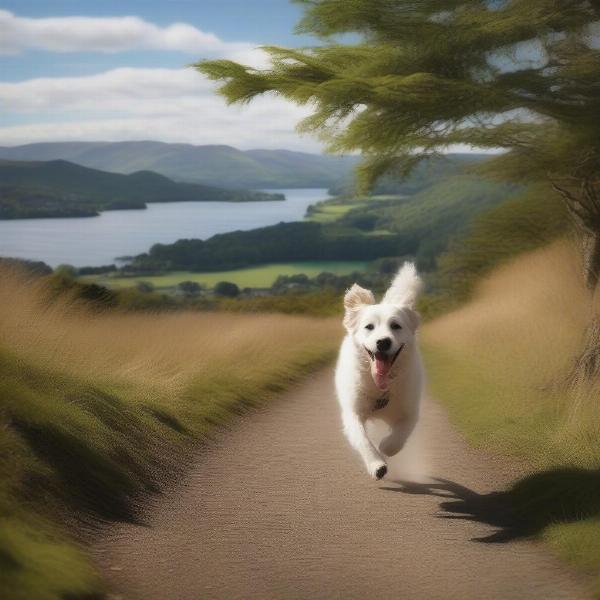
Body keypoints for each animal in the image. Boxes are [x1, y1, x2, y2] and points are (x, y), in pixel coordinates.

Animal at [336, 262, 424, 478]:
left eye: (396, 326)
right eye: (369, 326)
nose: (383, 342)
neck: (381, 387)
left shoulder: (410, 411)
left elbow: (398, 437)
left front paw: (385, 446)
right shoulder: (353, 413)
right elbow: (363, 440)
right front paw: (377, 464)